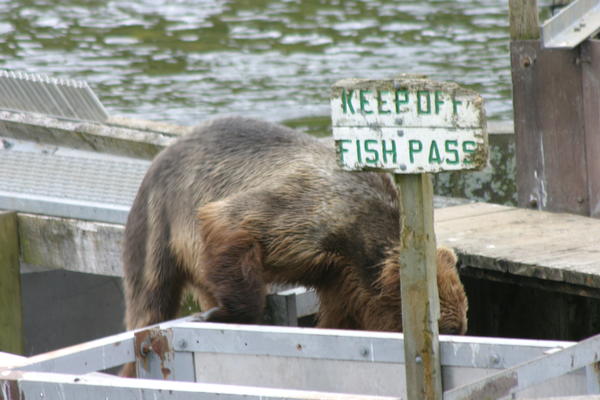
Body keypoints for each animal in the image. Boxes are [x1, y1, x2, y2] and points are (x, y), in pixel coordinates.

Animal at [120, 115, 468, 376]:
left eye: (460, 326)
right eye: (447, 327)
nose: (459, 332)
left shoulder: (341, 277)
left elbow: (341, 318)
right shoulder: (308, 212)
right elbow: (233, 222)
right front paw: (219, 314)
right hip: (160, 222)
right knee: (150, 300)